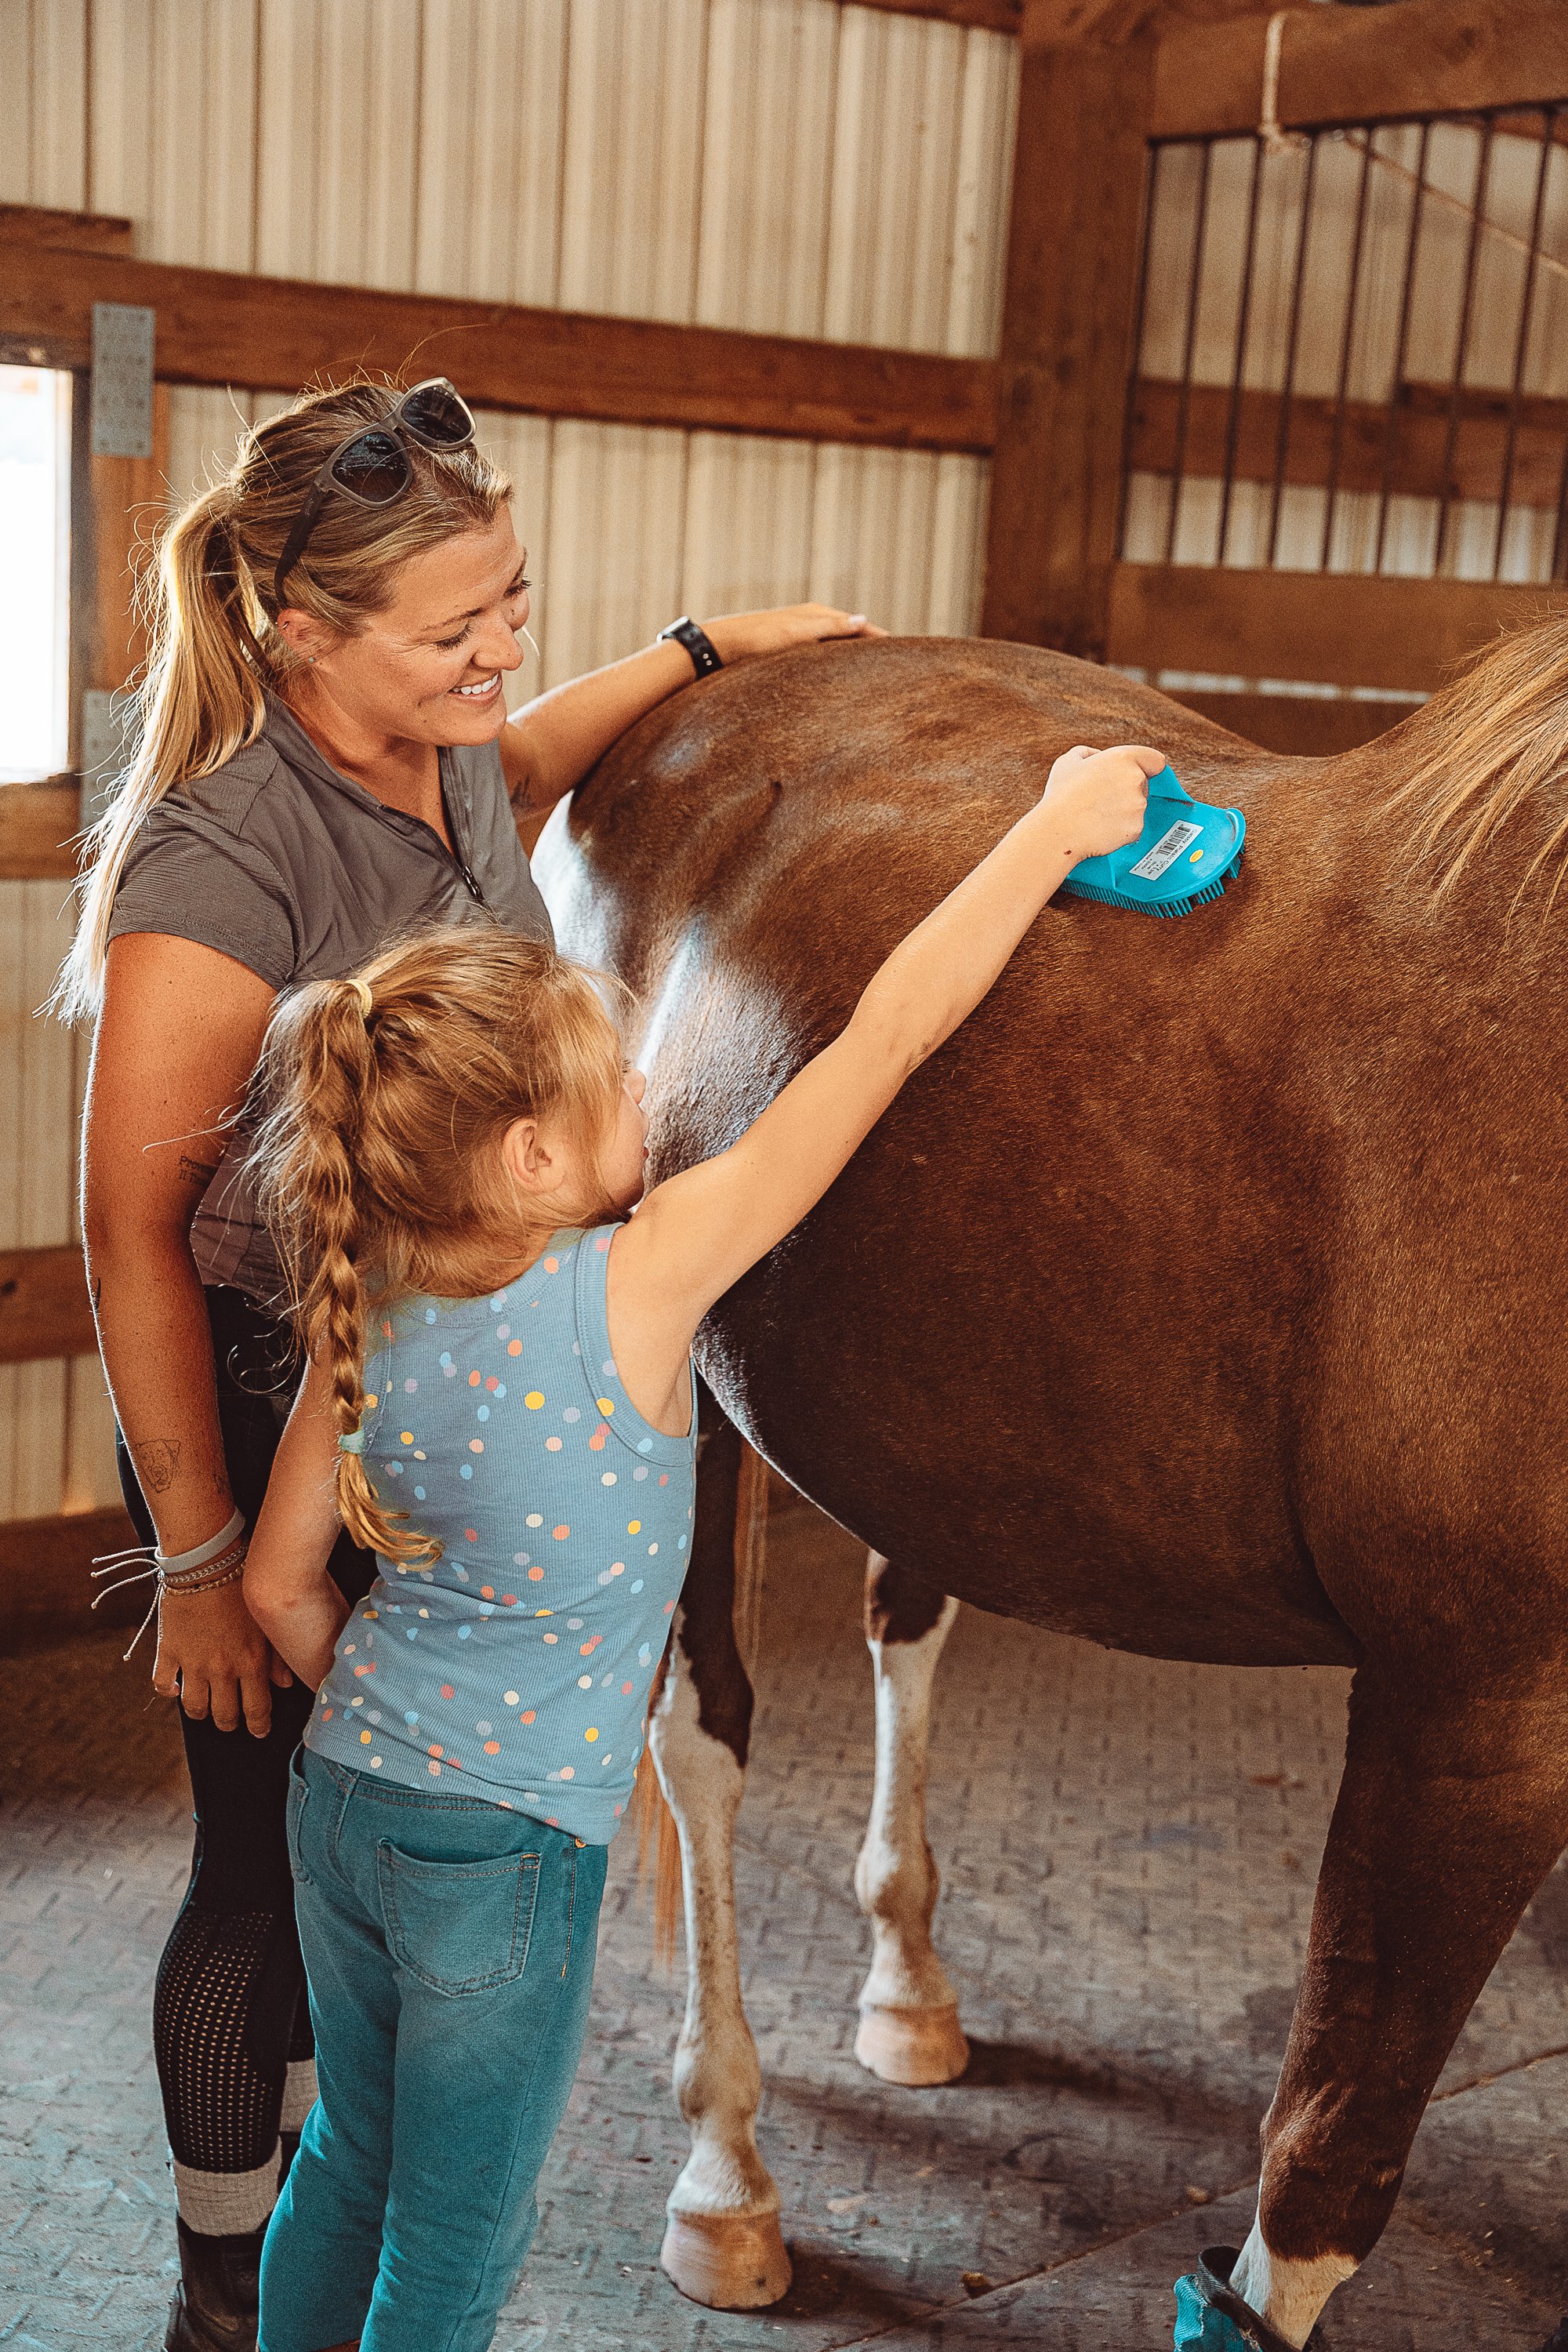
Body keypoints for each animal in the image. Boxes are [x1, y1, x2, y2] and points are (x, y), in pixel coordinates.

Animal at [532, 623, 1568, 2352]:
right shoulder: (1470, 1721)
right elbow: (1323, 2172)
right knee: (706, 1734)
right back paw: (726, 2180)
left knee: (907, 1621)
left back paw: (907, 1991)